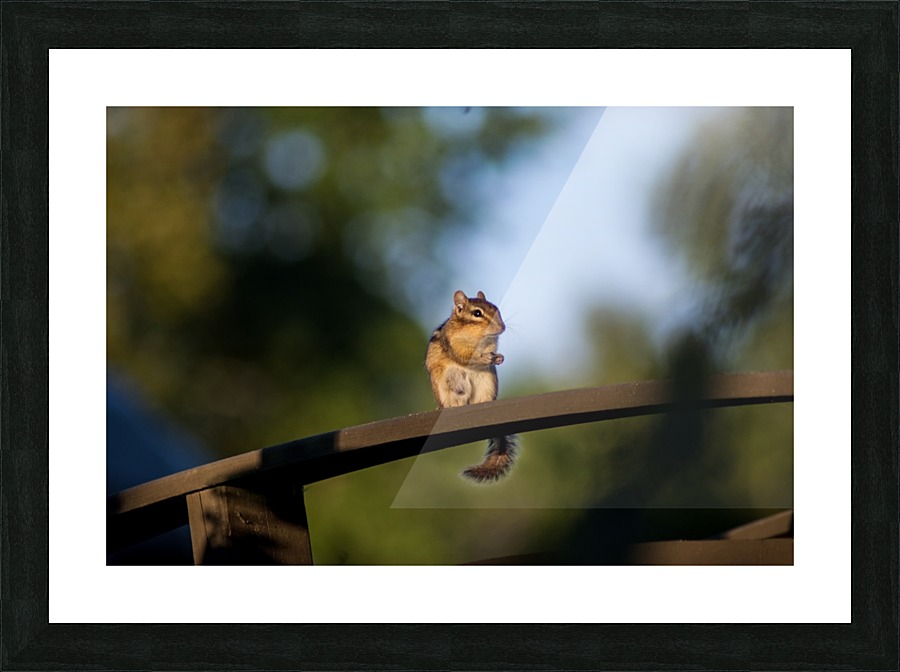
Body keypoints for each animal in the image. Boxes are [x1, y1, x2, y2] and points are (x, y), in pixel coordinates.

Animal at [425, 290, 518, 482]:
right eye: (477, 313)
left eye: (496, 309)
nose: (502, 327)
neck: (478, 338)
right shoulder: (454, 344)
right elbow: (465, 356)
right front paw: (483, 357)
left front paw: (499, 357)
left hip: (488, 382)